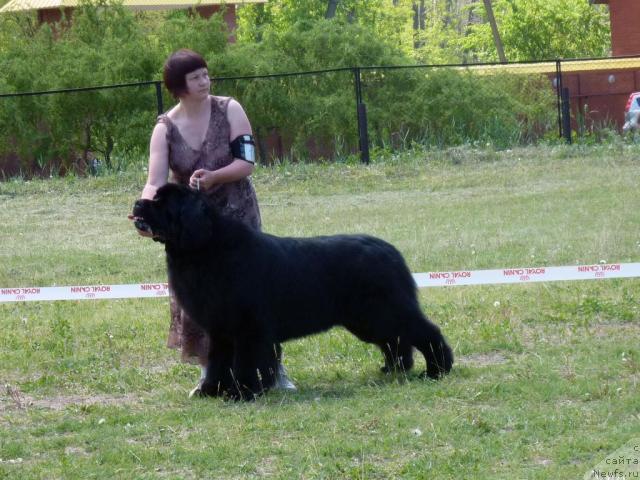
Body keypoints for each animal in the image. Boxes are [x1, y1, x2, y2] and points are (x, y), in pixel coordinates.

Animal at [134, 185, 456, 402]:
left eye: (162, 202)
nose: (137, 202)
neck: (204, 247)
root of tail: (390, 251)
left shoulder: (248, 327)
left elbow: (246, 362)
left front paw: (243, 392)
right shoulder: (221, 329)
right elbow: (217, 362)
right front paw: (212, 390)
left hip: (385, 310)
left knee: (424, 332)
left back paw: (437, 370)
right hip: (368, 319)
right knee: (395, 341)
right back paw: (393, 369)